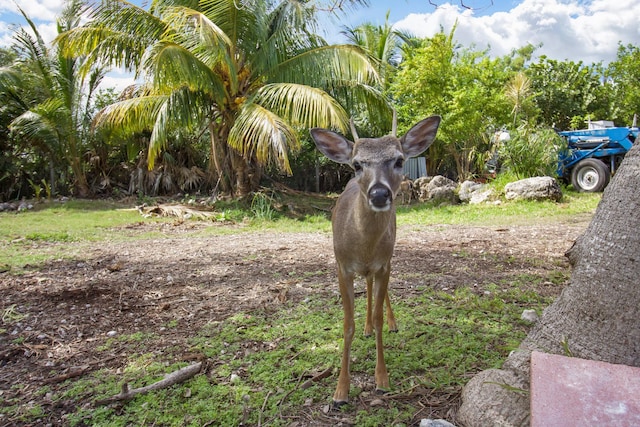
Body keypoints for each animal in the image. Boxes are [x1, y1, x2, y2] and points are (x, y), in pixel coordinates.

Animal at [310, 114, 440, 408]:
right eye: (357, 164)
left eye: (399, 160)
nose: (379, 194)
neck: (364, 248)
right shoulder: (342, 266)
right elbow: (347, 325)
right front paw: (340, 391)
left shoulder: (383, 264)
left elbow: (380, 316)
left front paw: (382, 380)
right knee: (367, 286)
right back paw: (366, 327)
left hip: (388, 259)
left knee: (378, 290)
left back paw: (389, 324)